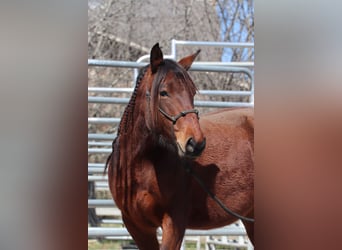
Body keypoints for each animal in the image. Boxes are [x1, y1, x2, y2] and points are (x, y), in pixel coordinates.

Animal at [107, 43, 254, 248]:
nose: (196, 143)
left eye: (192, 93)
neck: (140, 165)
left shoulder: (173, 224)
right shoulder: (137, 227)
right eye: (163, 92)